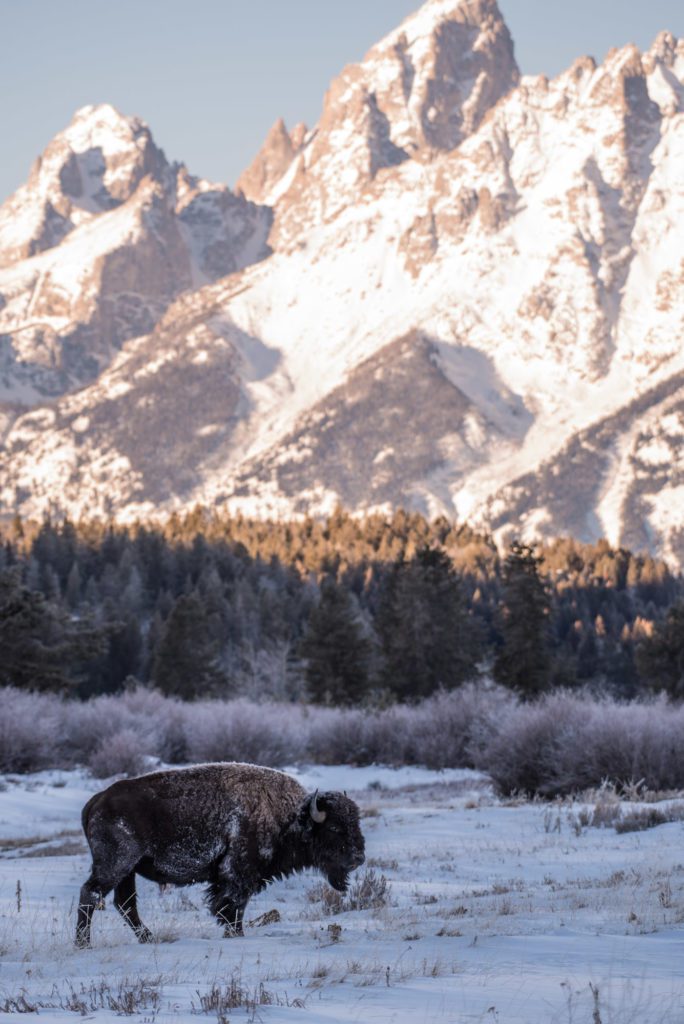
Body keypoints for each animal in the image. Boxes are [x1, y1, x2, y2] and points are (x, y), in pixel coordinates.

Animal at [75, 762, 365, 947]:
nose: (359, 858)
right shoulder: (238, 874)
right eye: (335, 828)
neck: (289, 816)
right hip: (116, 865)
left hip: (128, 871)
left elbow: (230, 907)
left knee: (125, 904)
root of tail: (96, 801)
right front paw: (236, 935)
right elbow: (232, 907)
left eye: (356, 822)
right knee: (91, 894)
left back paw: (148, 939)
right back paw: (83, 944)